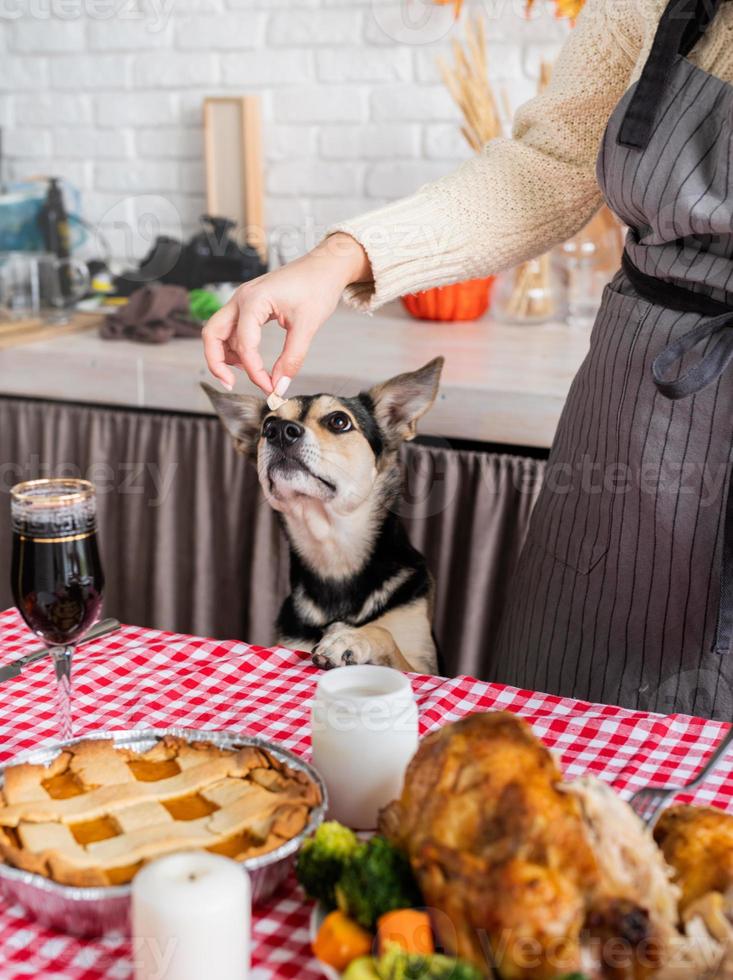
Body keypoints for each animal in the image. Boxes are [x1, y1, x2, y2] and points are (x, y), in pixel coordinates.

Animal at [200, 358, 444, 672]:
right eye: (267, 424)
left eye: (339, 421)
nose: (279, 430)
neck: (333, 553)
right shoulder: (290, 641)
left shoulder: (422, 663)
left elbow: (383, 632)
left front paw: (350, 638)